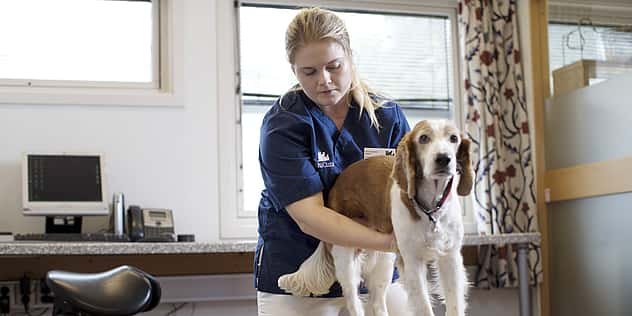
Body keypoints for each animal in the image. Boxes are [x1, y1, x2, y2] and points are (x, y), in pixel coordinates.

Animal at [278, 119, 472, 316]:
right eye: (424, 138)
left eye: (453, 138)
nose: (444, 159)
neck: (431, 211)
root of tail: (333, 192)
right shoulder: (412, 261)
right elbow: (424, 307)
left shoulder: (450, 258)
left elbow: (454, 305)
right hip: (345, 257)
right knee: (353, 301)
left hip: (383, 260)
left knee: (378, 302)